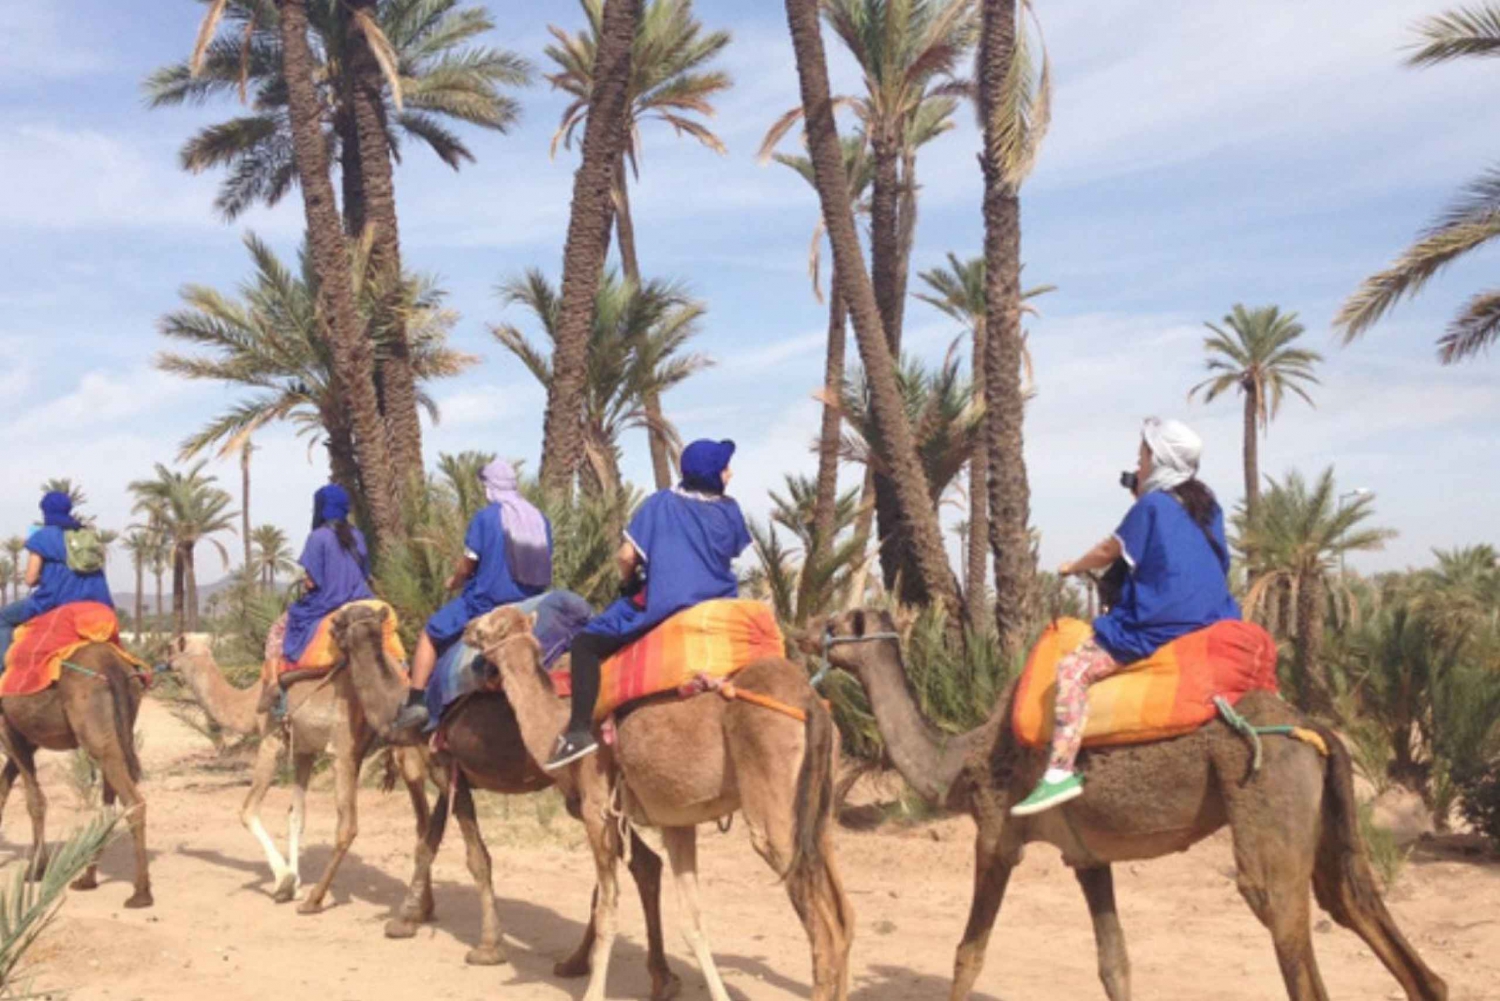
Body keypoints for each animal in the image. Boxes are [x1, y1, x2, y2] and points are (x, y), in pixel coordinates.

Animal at [0, 642, 152, 906]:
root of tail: (111, 664)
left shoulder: (10, 729)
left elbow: (34, 801)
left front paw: (35, 870)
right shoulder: (28, 739)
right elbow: (4, 790)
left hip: (93, 729)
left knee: (133, 802)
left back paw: (140, 893)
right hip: (121, 723)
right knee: (109, 804)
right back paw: (87, 879)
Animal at [168, 633, 435, 918]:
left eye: (171, 647)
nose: (163, 663)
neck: (248, 705)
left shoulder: (272, 739)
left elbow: (248, 810)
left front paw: (284, 883)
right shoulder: (305, 751)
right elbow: (296, 816)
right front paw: (294, 883)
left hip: (344, 749)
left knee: (348, 826)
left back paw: (314, 901)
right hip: (407, 742)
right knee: (423, 822)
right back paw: (422, 907)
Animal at [334, 603, 681, 996]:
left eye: (342, 620)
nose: (330, 629)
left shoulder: (446, 770)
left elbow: (476, 858)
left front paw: (486, 947)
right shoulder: (452, 775)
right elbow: (427, 844)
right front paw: (408, 918)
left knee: (633, 863)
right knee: (644, 863)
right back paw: (643, 975)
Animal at [444, 603, 858, 1001]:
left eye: (494, 620)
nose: (467, 627)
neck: (556, 730)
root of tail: (810, 701)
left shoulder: (596, 809)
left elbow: (607, 908)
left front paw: (593, 991)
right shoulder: (677, 821)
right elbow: (691, 920)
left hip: (773, 798)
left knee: (823, 932)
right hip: (816, 810)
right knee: (844, 917)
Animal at [816, 612, 1446, 1001]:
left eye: (837, 626)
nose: (805, 631)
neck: (957, 760)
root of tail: (1314, 727)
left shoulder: (995, 836)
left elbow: (967, 952)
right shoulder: (1087, 857)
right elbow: (1114, 963)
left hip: (1267, 798)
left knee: (1286, 923)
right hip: (1322, 820)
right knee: (1360, 911)